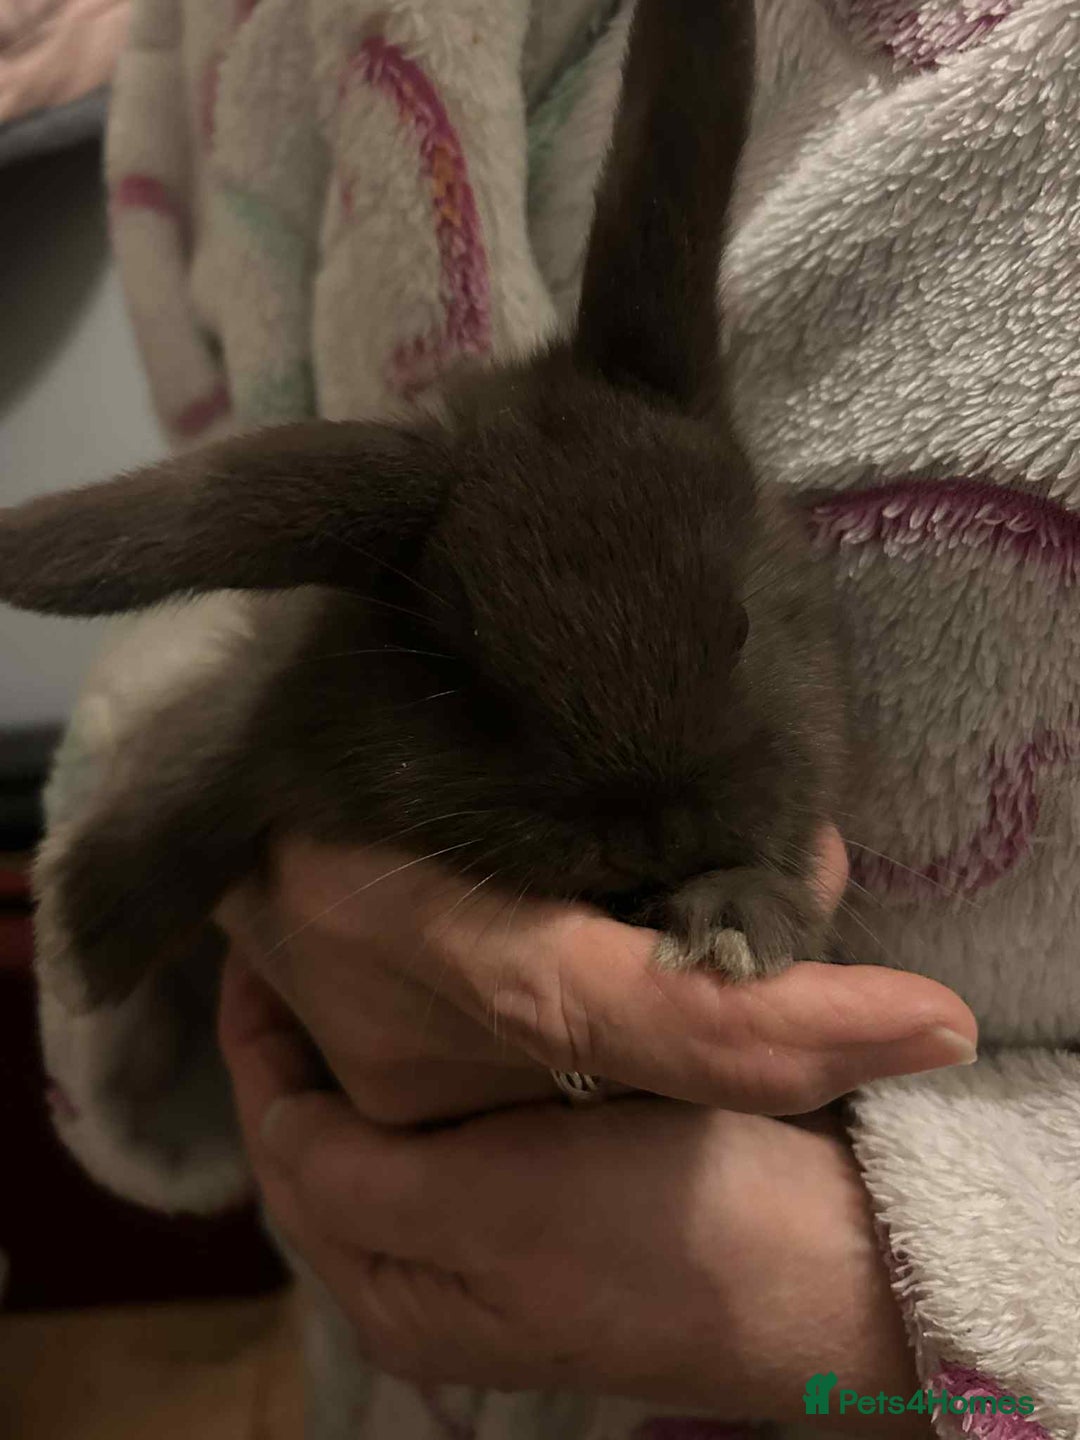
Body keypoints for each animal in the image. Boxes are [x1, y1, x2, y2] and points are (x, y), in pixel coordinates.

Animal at [0, 0, 846, 1010]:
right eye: (468, 681)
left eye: (741, 629)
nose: (652, 835)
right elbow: (210, 766)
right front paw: (87, 930)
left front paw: (736, 920)